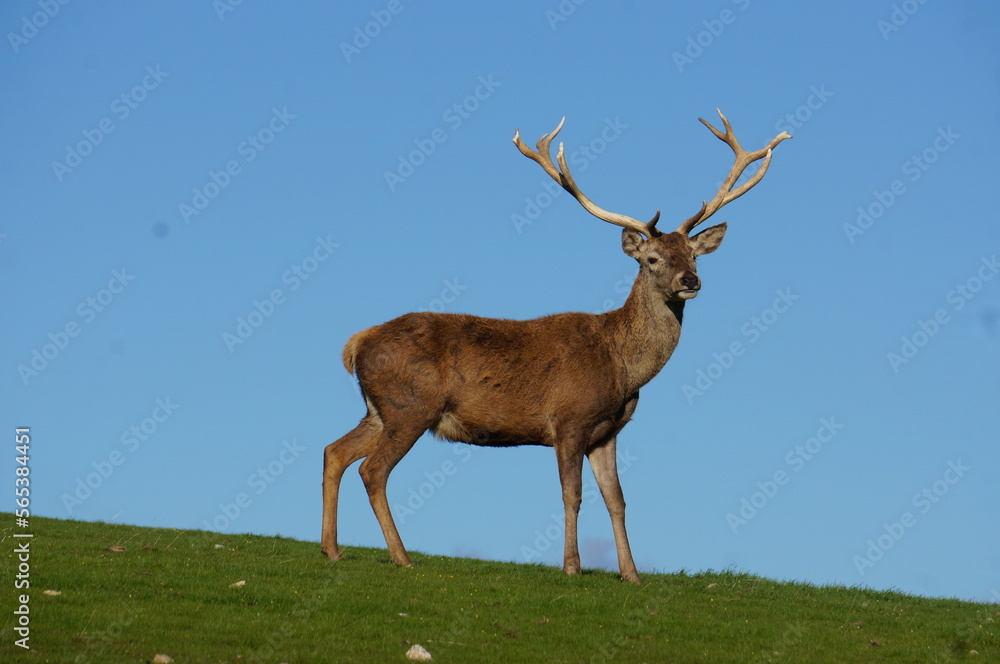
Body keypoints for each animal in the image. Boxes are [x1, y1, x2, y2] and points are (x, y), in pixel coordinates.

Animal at [322, 110, 790, 584]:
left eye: (694, 256)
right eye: (652, 259)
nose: (690, 280)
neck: (621, 366)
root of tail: (355, 344)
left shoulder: (608, 431)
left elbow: (618, 500)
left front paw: (631, 574)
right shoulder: (569, 420)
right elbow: (572, 495)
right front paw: (572, 567)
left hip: (380, 409)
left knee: (334, 452)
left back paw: (332, 549)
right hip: (411, 407)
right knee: (372, 470)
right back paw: (400, 556)